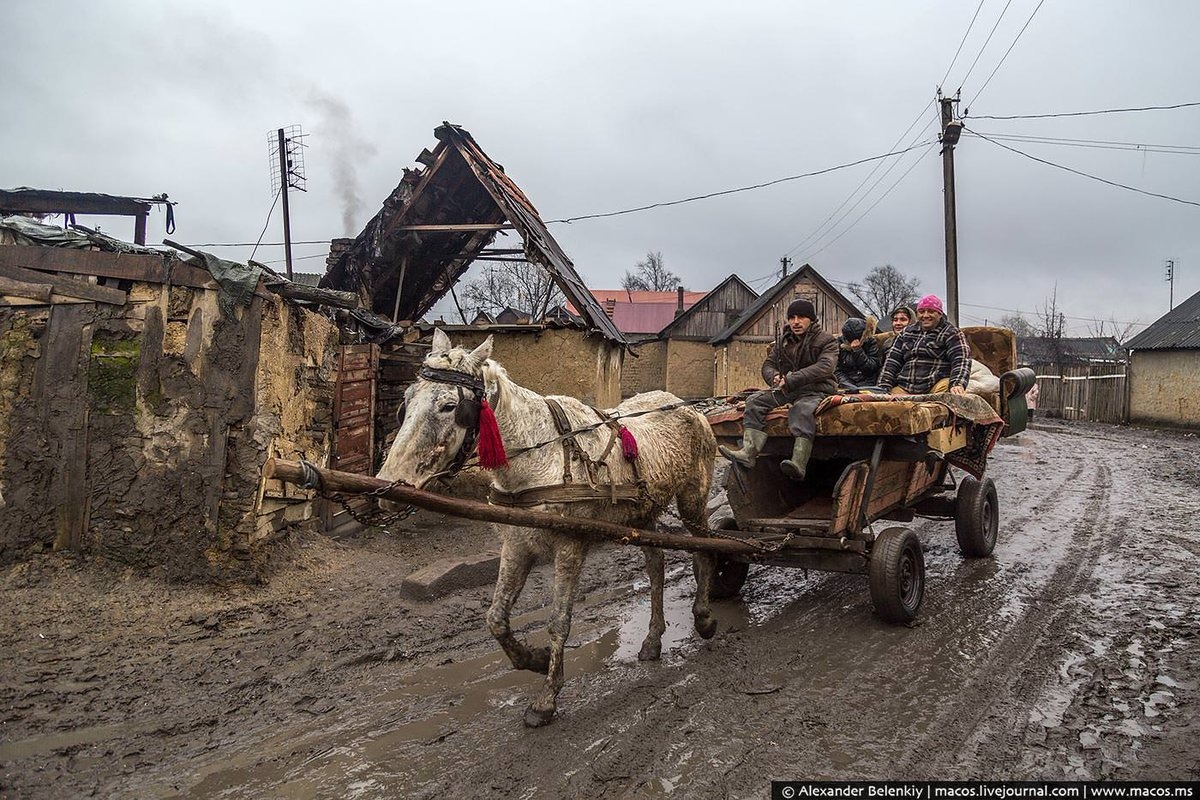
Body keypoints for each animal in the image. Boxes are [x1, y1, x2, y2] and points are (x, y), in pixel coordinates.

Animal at [376, 328, 710, 729]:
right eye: (406, 401)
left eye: (448, 406)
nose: (389, 484)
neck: (539, 456)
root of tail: (687, 406)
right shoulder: (516, 544)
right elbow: (496, 618)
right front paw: (532, 660)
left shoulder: (569, 546)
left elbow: (558, 622)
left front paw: (547, 698)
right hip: (642, 515)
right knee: (656, 567)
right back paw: (653, 639)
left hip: (693, 499)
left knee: (704, 549)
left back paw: (704, 616)